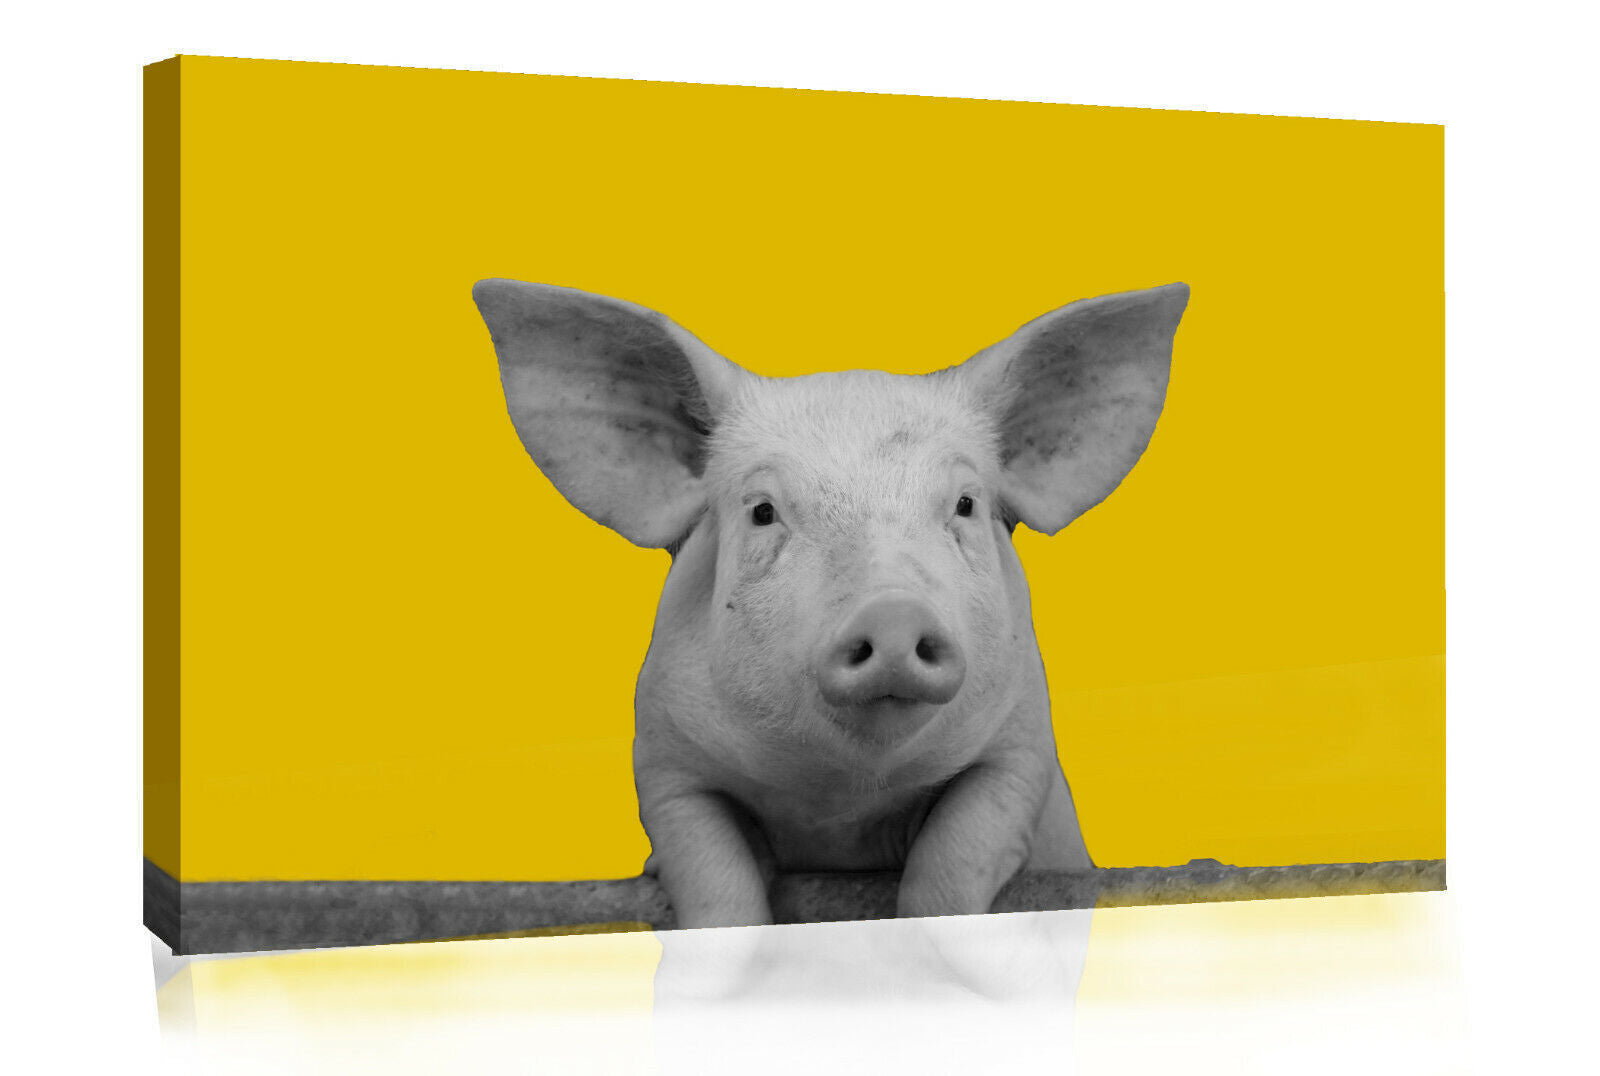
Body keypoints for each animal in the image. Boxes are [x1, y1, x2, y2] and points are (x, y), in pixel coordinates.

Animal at [473, 278, 1188, 928]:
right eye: (763, 511)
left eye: (964, 504)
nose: (893, 614)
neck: (841, 802)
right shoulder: (665, 758)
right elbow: (712, 879)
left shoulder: (1020, 744)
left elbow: (955, 858)